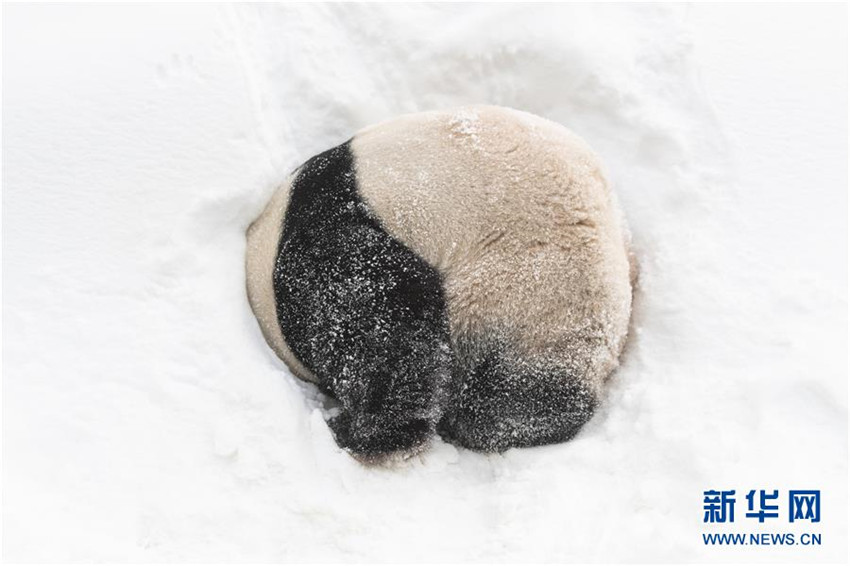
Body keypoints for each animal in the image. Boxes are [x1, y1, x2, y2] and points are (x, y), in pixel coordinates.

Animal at [246, 105, 634, 461]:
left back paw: (484, 419)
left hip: (532, 286)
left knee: (514, 394)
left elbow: (378, 314)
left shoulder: (325, 238)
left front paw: (367, 432)